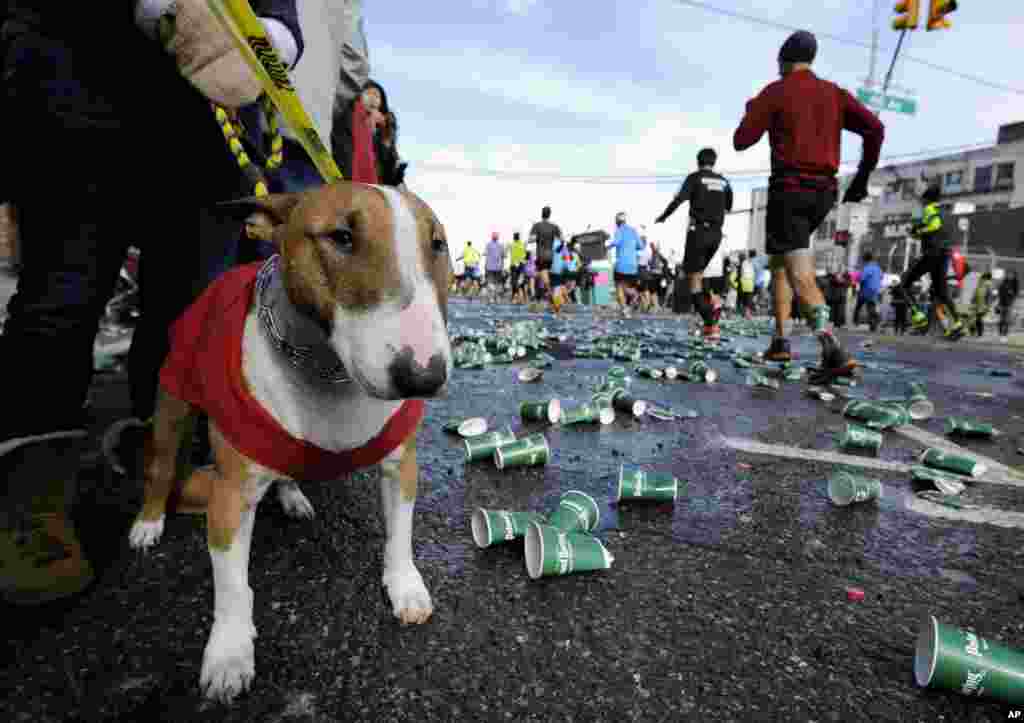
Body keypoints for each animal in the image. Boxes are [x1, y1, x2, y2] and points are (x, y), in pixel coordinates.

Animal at [124, 183, 452, 700]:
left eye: (437, 244)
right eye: (341, 237)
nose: (423, 377)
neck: (328, 369)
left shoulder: (400, 464)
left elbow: (400, 532)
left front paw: (405, 587)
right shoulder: (231, 491)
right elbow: (231, 582)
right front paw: (229, 654)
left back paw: (293, 497)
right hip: (174, 394)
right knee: (160, 465)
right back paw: (149, 522)